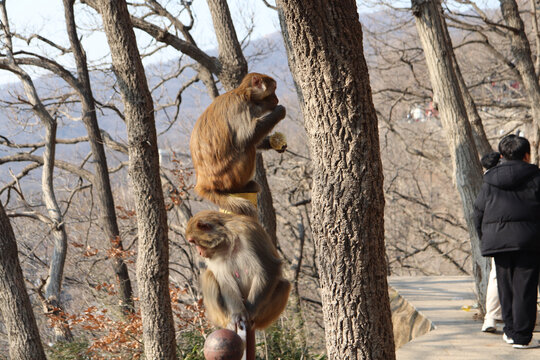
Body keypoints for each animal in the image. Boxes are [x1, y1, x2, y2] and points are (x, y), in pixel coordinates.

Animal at [192, 71, 288, 215]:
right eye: (274, 90)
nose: (277, 100)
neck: (246, 95)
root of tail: (203, 183)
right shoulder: (240, 106)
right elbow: (244, 138)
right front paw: (280, 111)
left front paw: (273, 143)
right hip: (228, 177)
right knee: (248, 148)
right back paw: (241, 187)